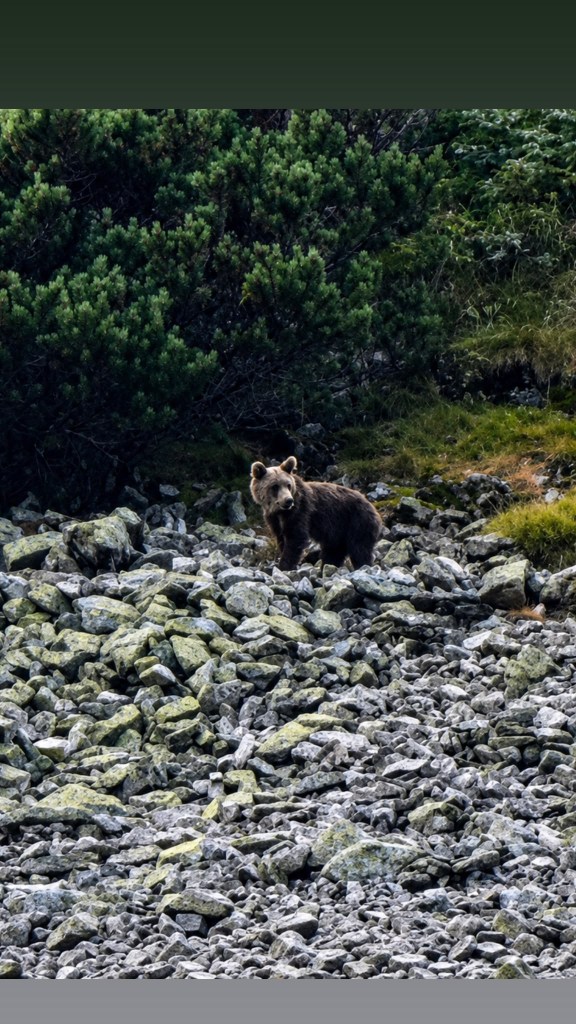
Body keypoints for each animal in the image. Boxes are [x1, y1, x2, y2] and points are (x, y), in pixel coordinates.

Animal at [250, 455, 382, 571]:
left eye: (288, 485)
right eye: (275, 486)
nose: (288, 500)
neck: (280, 511)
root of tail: (373, 507)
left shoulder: (300, 511)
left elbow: (296, 537)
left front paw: (284, 566)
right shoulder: (273, 519)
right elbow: (282, 538)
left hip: (357, 522)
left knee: (359, 549)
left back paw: (363, 565)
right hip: (339, 532)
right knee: (334, 551)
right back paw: (328, 566)